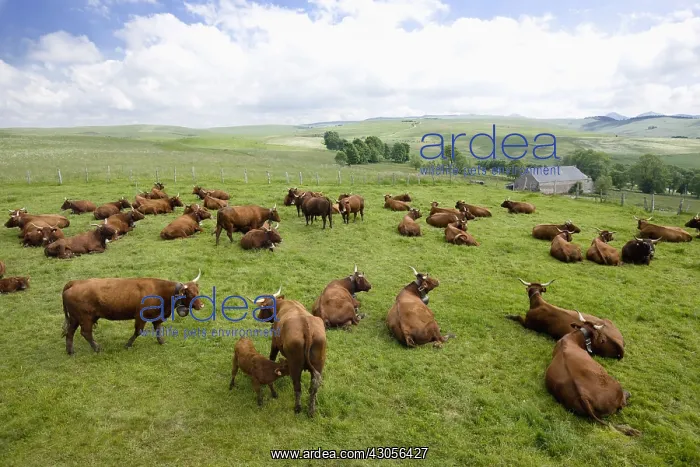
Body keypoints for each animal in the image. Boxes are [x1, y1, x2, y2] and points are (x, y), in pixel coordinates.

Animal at [61, 270, 204, 355]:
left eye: (197, 291)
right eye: (190, 294)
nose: (201, 305)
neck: (160, 291)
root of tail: (74, 282)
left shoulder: (157, 316)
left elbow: (158, 329)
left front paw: (161, 342)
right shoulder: (140, 317)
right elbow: (138, 331)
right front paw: (128, 344)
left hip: (75, 318)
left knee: (70, 332)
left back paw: (70, 351)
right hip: (85, 317)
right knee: (86, 333)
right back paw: (97, 348)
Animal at [255, 286, 327, 417]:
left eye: (263, 307)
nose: (259, 316)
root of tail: (306, 326)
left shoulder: (274, 342)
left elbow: (271, 356)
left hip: (295, 365)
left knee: (297, 387)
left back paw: (297, 408)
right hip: (319, 364)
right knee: (313, 387)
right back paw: (311, 411)